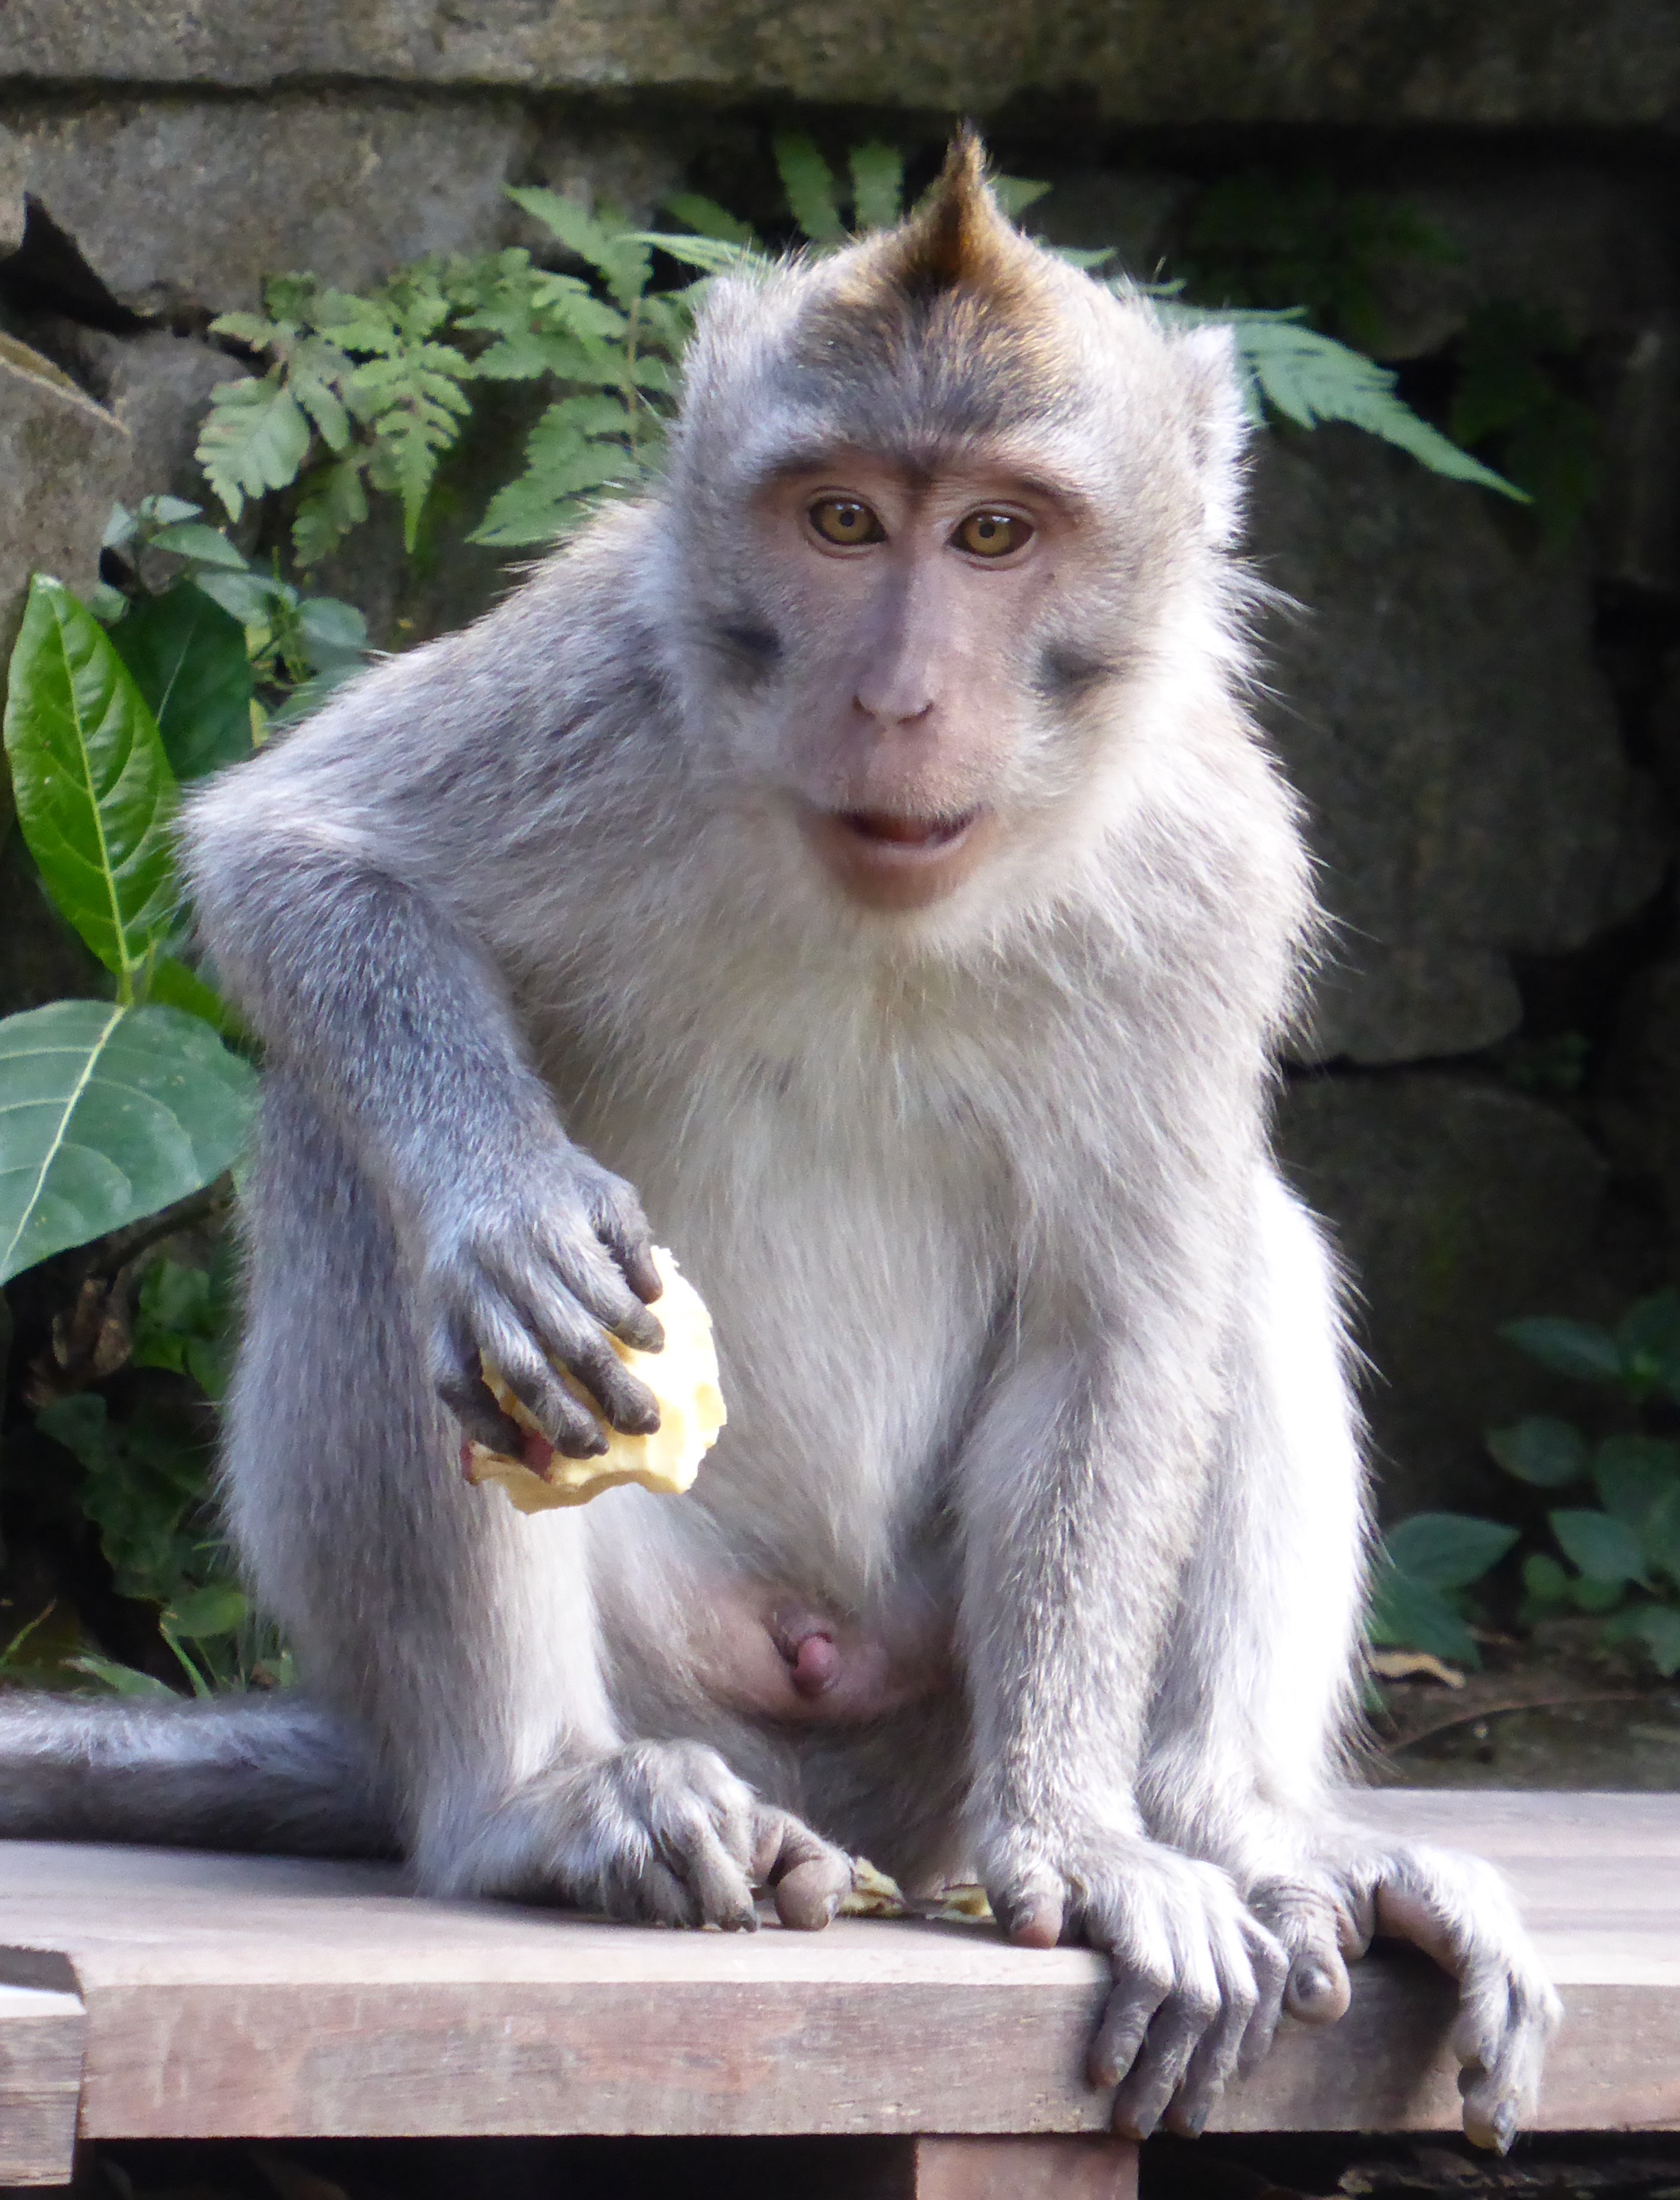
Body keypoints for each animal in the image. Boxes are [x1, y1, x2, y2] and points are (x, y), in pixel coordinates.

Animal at [0, 135, 1558, 2148]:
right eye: (838, 522)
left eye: (994, 537)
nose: (896, 695)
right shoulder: (610, 670)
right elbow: (299, 857)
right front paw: (512, 1211)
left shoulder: (1213, 861)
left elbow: (1121, 1320)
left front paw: (1088, 1842)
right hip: (677, 1670)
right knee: (353, 1171)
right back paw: (542, 1801)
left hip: (928, 1720)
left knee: (1248, 1242)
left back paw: (1240, 1823)